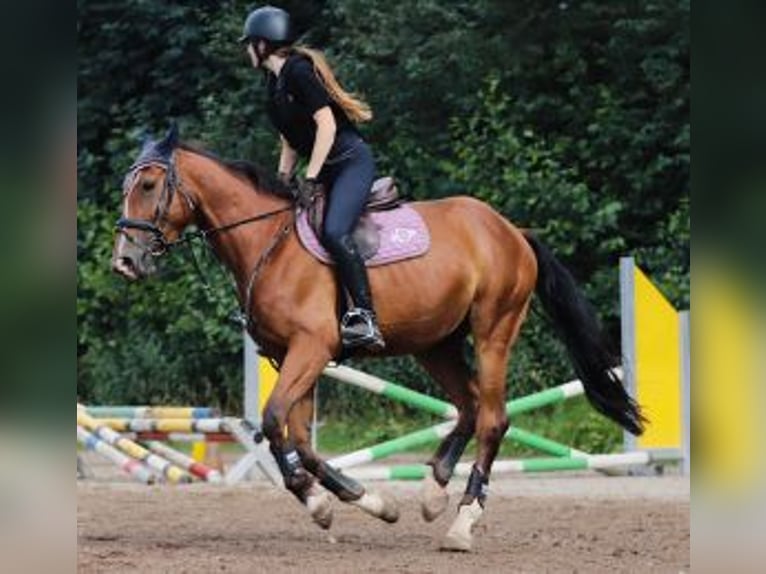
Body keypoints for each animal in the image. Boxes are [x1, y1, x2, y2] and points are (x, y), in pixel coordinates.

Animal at [111, 127, 644, 552]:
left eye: (149, 185)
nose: (125, 261)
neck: (267, 240)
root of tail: (510, 230)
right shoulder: (289, 357)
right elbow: (298, 438)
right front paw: (363, 500)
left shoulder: (312, 348)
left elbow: (274, 419)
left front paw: (317, 500)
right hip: (436, 342)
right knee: (469, 406)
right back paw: (433, 490)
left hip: (494, 329)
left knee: (493, 418)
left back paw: (462, 522)